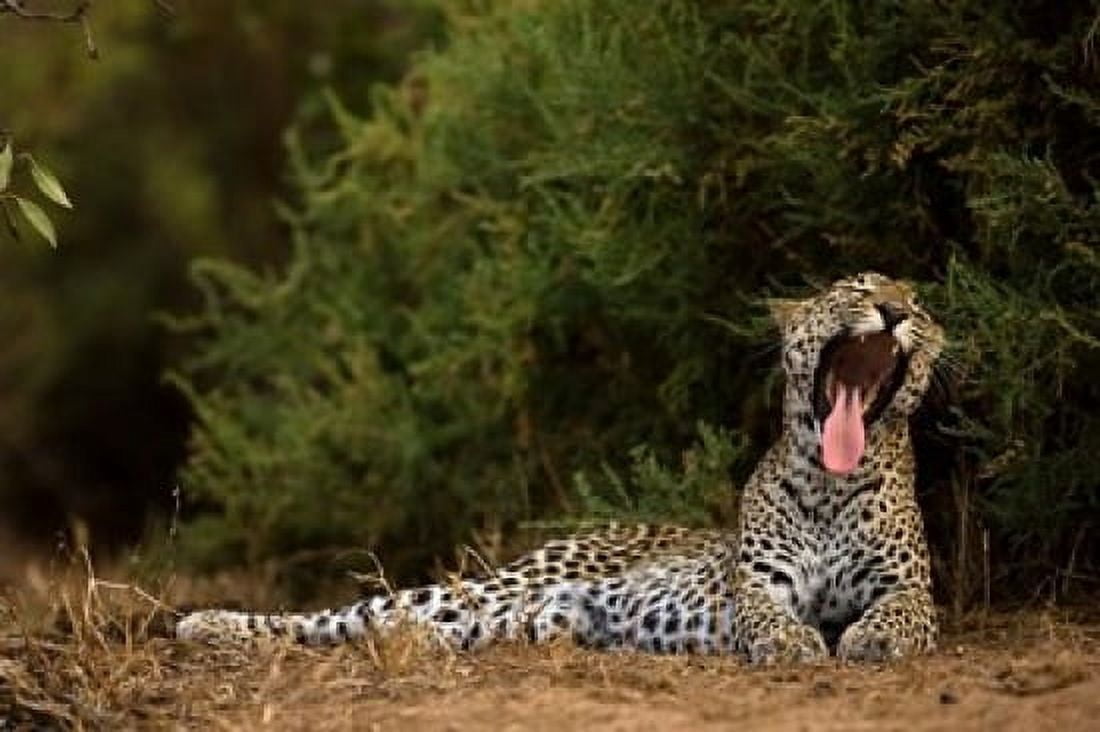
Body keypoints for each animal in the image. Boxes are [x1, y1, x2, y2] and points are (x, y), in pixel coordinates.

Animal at [176, 271, 945, 664]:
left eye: (920, 302)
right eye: (855, 288)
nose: (894, 309)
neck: (830, 480)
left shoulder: (910, 586)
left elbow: (903, 614)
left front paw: (871, 638)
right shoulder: (759, 584)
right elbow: (769, 617)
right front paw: (795, 645)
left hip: (509, 619)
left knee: (387, 629)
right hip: (495, 584)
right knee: (341, 615)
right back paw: (204, 625)